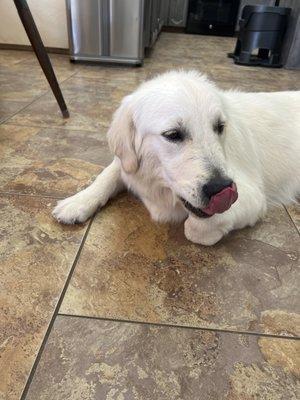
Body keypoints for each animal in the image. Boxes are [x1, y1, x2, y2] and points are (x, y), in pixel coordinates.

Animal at [52, 71, 300, 245]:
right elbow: (107, 175)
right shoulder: (128, 163)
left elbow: (196, 228)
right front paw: (77, 202)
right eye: (173, 134)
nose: (221, 188)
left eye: (219, 127)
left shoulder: (253, 196)